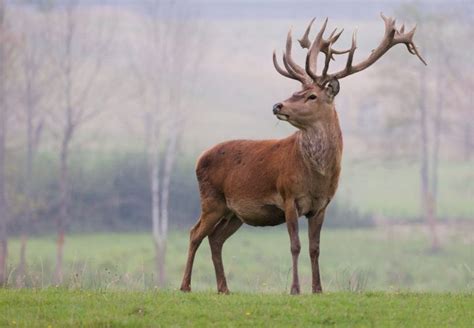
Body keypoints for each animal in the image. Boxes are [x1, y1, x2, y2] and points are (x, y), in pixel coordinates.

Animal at [180, 14, 428, 294]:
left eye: (311, 95)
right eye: (295, 91)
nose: (277, 105)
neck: (316, 177)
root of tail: (199, 158)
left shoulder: (321, 205)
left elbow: (314, 248)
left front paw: (317, 288)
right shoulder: (288, 197)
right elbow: (295, 245)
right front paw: (295, 288)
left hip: (234, 212)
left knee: (215, 238)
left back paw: (224, 288)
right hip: (211, 199)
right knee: (195, 233)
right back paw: (185, 285)